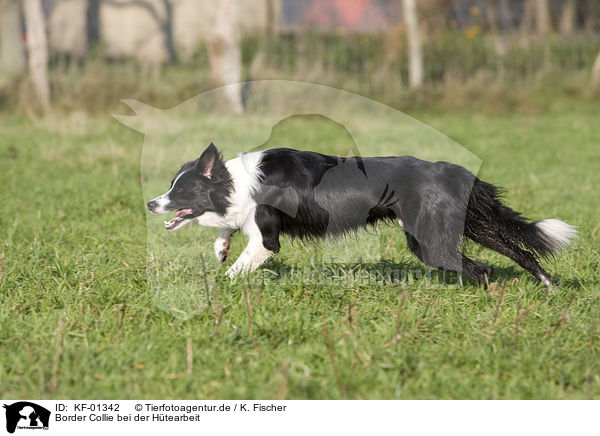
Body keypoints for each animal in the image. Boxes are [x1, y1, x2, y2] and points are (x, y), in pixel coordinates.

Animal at [146, 143, 576, 286]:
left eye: (179, 191)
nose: (151, 203)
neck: (234, 181)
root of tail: (454, 171)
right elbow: (228, 233)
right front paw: (220, 248)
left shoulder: (268, 240)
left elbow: (240, 266)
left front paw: (220, 288)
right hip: (465, 226)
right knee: (519, 250)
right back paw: (547, 285)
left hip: (430, 241)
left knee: (482, 269)